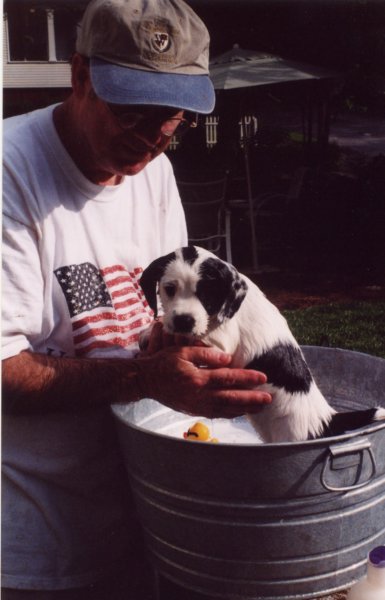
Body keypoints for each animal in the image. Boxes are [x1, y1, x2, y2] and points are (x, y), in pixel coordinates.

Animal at [139, 246, 384, 442]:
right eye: (169, 289)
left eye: (206, 295)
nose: (183, 321)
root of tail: (326, 418)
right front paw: (148, 333)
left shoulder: (220, 343)